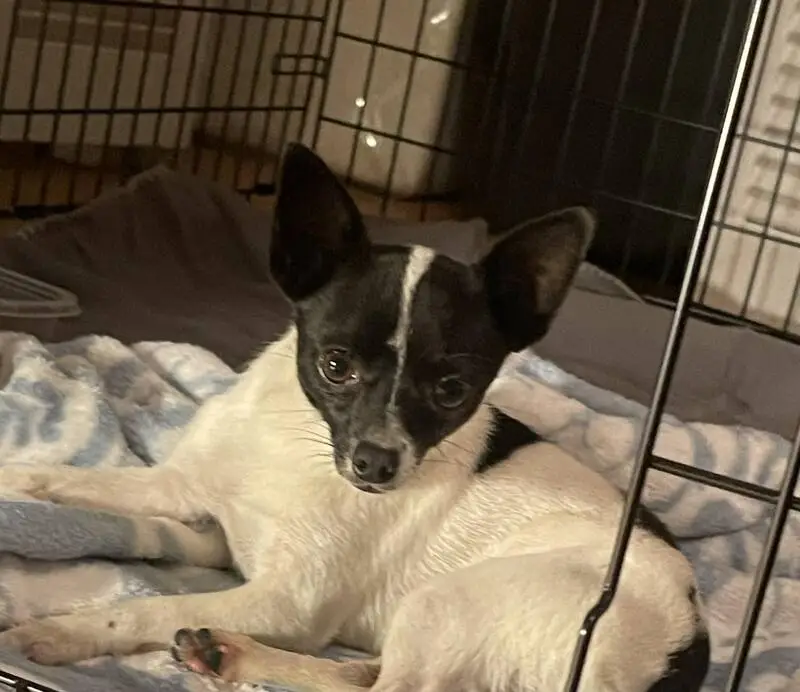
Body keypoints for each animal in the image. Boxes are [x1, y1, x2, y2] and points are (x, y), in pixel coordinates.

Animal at [0, 143, 709, 692]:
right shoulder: (182, 491)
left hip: (444, 604)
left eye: (452, 390)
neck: (299, 441)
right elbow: (73, 480)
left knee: (389, 689)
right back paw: (229, 653)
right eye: (335, 365)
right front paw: (18, 476)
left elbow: (150, 608)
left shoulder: (286, 604)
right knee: (363, 677)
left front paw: (69, 630)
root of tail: (682, 650)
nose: (376, 464)